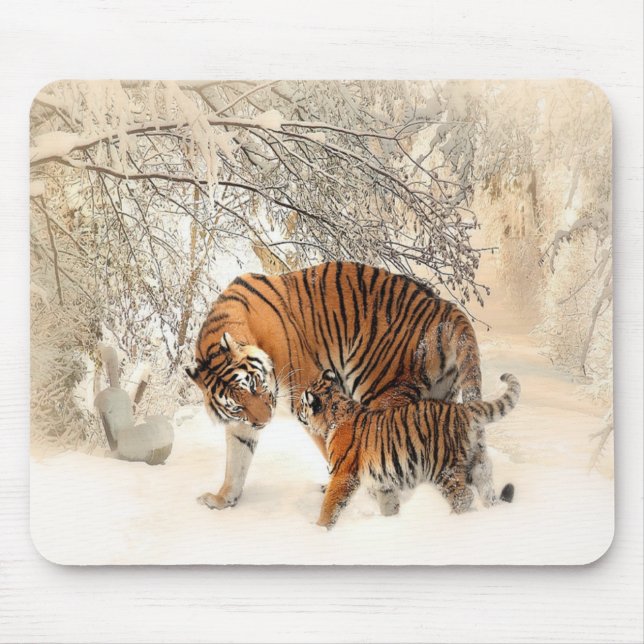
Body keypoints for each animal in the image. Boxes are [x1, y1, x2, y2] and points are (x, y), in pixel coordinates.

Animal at [186, 261, 484, 512]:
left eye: (255, 385)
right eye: (236, 406)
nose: (265, 421)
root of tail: (445, 307)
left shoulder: (309, 397)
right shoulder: (242, 424)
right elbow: (236, 462)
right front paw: (222, 499)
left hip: (381, 389)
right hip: (438, 396)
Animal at [297, 369, 519, 529]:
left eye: (302, 403)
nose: (297, 411)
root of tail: (463, 409)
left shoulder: (343, 474)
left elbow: (330, 504)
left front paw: (319, 529)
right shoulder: (383, 481)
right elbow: (389, 504)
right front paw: (391, 523)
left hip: (443, 468)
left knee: (464, 497)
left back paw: (453, 520)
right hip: (479, 463)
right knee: (486, 490)